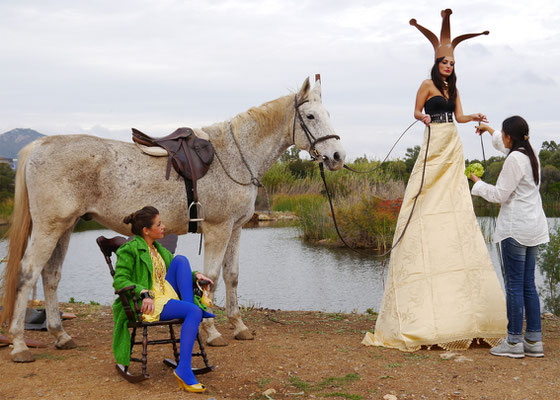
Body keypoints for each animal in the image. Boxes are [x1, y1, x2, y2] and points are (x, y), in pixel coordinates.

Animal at [1, 77, 346, 362]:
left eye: (327, 113)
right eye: (311, 116)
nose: (338, 157)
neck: (235, 155)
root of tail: (38, 146)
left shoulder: (236, 229)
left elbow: (232, 276)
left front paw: (239, 326)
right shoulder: (219, 229)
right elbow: (211, 277)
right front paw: (213, 332)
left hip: (66, 227)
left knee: (50, 275)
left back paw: (60, 335)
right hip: (49, 228)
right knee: (28, 273)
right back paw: (18, 344)